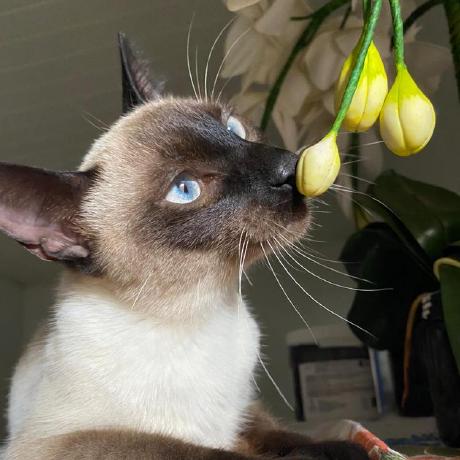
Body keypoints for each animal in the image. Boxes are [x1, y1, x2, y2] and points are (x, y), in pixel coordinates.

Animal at [0, 33, 369, 460]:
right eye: (185, 189)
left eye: (233, 128)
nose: (288, 168)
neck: (200, 307)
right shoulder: (56, 443)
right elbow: (207, 452)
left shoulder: (246, 411)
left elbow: (287, 436)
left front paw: (344, 448)